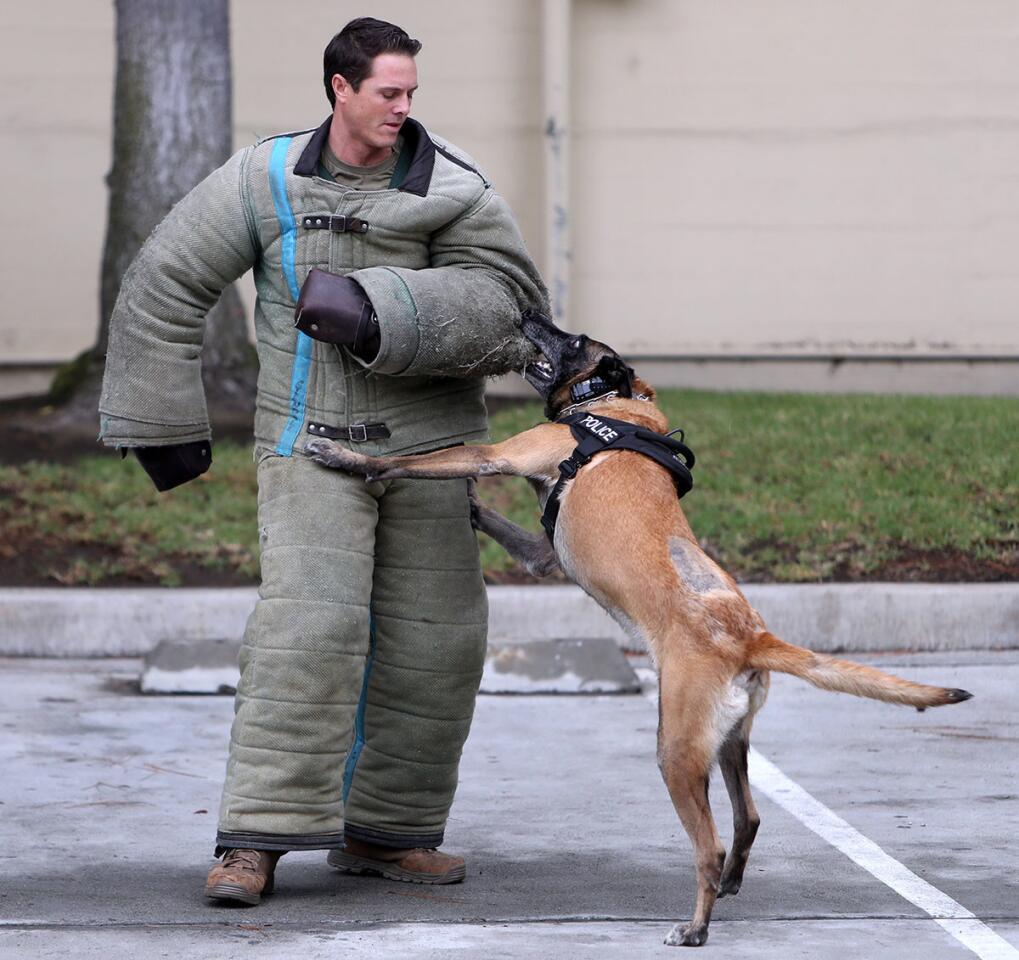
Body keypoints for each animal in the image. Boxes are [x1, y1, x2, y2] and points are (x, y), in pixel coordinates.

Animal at [305, 313, 974, 945]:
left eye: (573, 339)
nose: (528, 314)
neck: (611, 402)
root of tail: (748, 635)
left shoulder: (505, 453)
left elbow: (417, 461)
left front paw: (351, 460)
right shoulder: (543, 555)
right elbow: (496, 519)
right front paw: (467, 505)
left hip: (675, 750)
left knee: (708, 845)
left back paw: (695, 927)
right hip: (727, 742)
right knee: (749, 819)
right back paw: (730, 884)